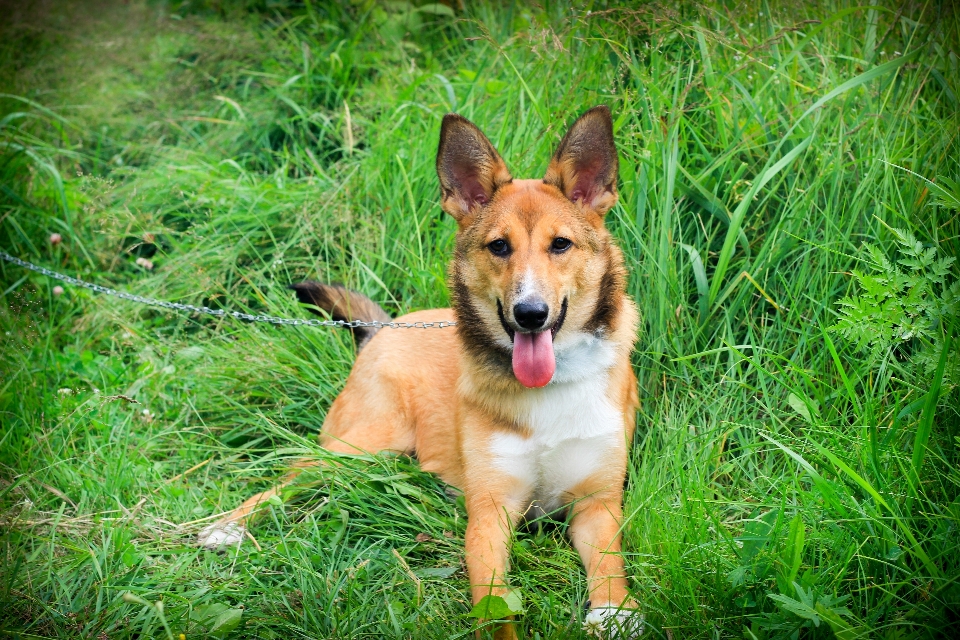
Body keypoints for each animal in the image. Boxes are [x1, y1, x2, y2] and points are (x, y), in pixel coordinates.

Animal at [199, 105, 640, 636]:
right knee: (288, 480)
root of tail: (383, 327)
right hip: (360, 444)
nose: (530, 314)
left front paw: (614, 611)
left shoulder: (598, 504)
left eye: (561, 245)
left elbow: (610, 565)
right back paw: (227, 527)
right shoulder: (490, 515)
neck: (550, 387)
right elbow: (495, 604)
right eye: (499, 247)